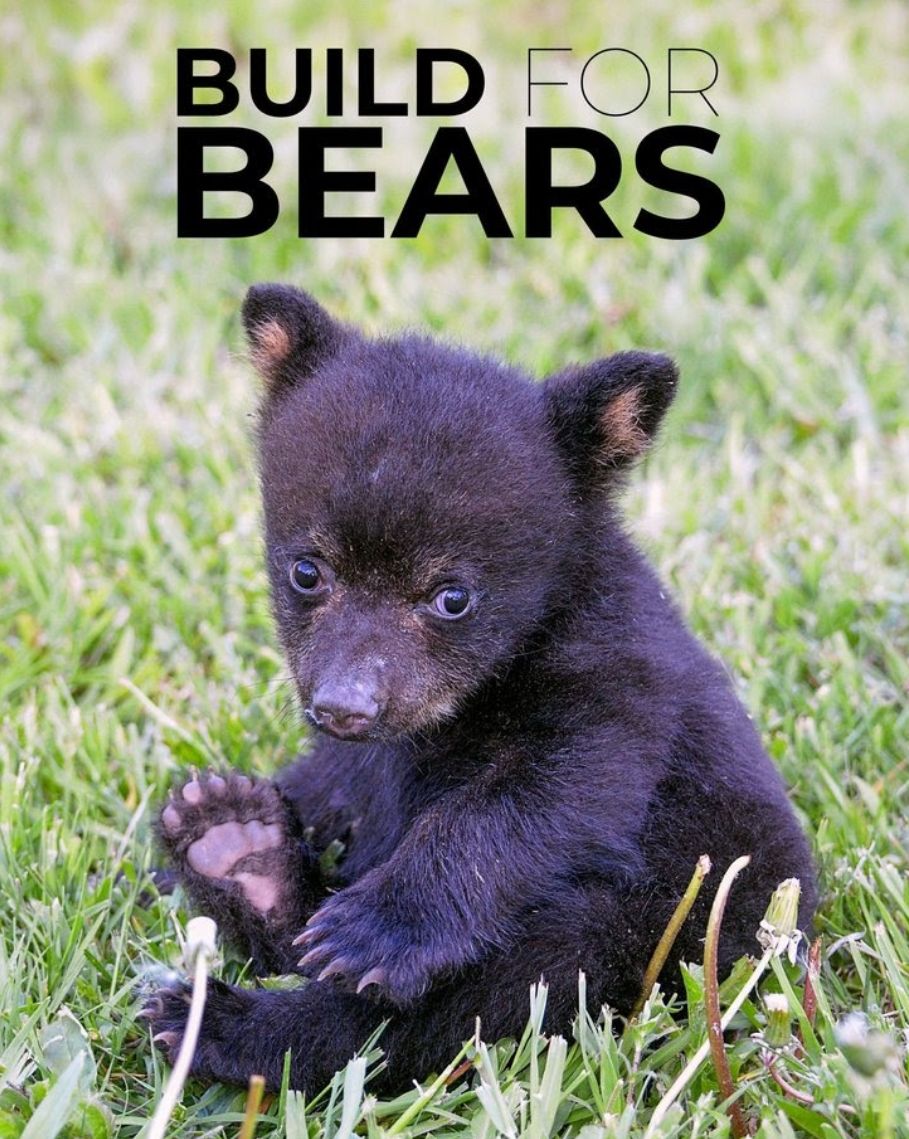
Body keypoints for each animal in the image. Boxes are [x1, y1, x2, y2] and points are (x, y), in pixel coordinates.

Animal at [142, 284, 817, 1094]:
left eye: (452, 596)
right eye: (307, 569)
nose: (343, 705)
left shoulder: (622, 680)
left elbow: (548, 793)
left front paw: (381, 927)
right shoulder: (366, 757)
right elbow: (345, 782)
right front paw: (229, 826)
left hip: (663, 927)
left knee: (479, 997)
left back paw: (225, 1021)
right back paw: (237, 845)